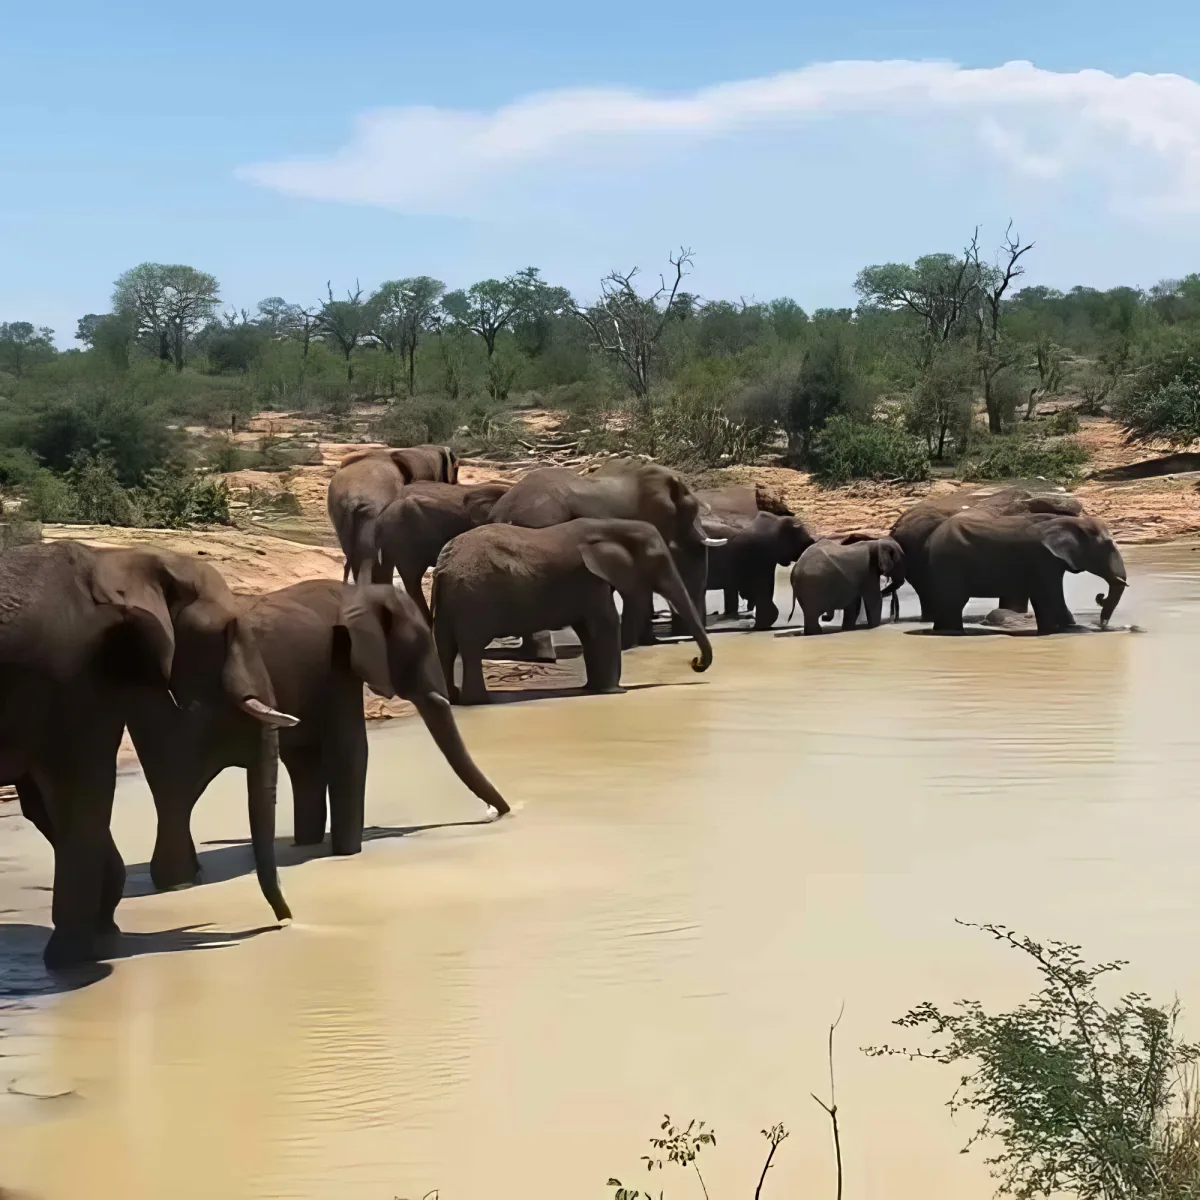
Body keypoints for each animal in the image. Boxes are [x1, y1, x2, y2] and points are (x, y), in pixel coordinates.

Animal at [0, 542, 295, 967]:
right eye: (228, 630)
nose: (286, 922)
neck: (119, 559)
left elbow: (48, 806)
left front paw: (103, 935)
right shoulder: (74, 674)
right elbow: (80, 795)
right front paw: (71, 959)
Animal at [137, 579, 509, 893]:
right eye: (419, 645)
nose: (495, 813)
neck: (361, 592)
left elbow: (306, 761)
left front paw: (308, 844)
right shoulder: (339, 663)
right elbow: (351, 751)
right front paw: (347, 854)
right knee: (181, 785)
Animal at [431, 518, 714, 705]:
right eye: (659, 560)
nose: (695, 662)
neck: (611, 527)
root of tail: (443, 566)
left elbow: (589, 631)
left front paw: (594, 689)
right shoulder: (589, 579)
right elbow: (605, 624)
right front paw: (614, 692)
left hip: (451, 600)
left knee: (445, 647)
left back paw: (452, 698)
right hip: (473, 598)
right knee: (471, 648)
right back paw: (479, 701)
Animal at [924, 512, 1127, 633]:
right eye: (1107, 545)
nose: (1102, 624)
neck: (1070, 522)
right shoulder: (1043, 560)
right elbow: (1051, 598)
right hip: (948, 563)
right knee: (954, 602)